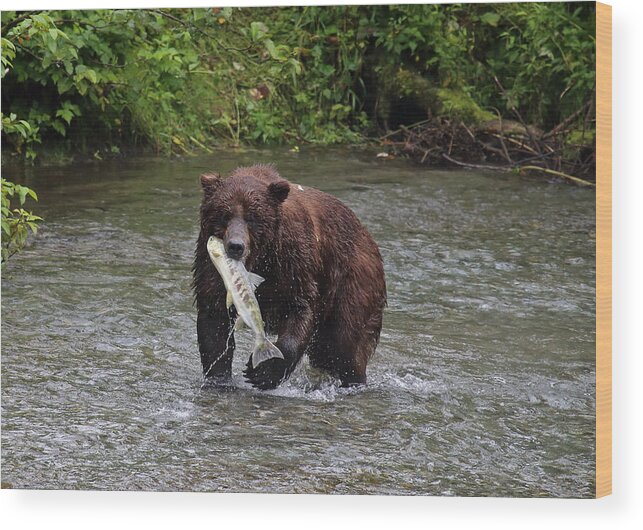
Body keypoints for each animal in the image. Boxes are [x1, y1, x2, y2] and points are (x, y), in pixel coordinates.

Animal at [192, 164, 388, 388]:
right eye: (224, 214)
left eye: (252, 217)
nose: (235, 246)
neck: (261, 259)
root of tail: (369, 237)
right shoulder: (209, 264)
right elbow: (214, 320)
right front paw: (219, 378)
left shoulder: (293, 261)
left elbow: (300, 307)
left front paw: (262, 372)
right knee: (326, 353)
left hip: (354, 281)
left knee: (347, 343)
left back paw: (354, 380)